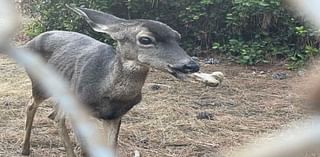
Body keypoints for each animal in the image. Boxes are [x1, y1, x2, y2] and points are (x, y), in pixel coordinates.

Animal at [20, 5, 222, 157]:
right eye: (145, 39)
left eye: (177, 37)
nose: (190, 65)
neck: (105, 90)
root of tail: (29, 42)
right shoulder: (81, 110)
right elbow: (86, 150)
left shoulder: (115, 115)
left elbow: (110, 148)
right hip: (41, 83)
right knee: (32, 105)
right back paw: (25, 149)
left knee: (55, 115)